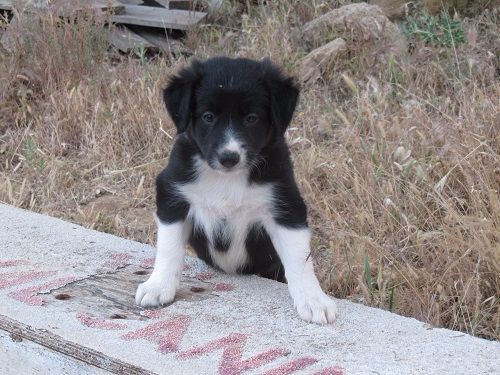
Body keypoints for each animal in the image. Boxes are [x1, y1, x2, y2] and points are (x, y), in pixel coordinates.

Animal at [136, 57, 336, 324]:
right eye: (208, 116)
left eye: (251, 118)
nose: (229, 158)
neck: (227, 178)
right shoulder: (172, 194)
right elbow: (169, 248)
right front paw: (158, 286)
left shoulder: (286, 204)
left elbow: (299, 258)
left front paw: (313, 300)